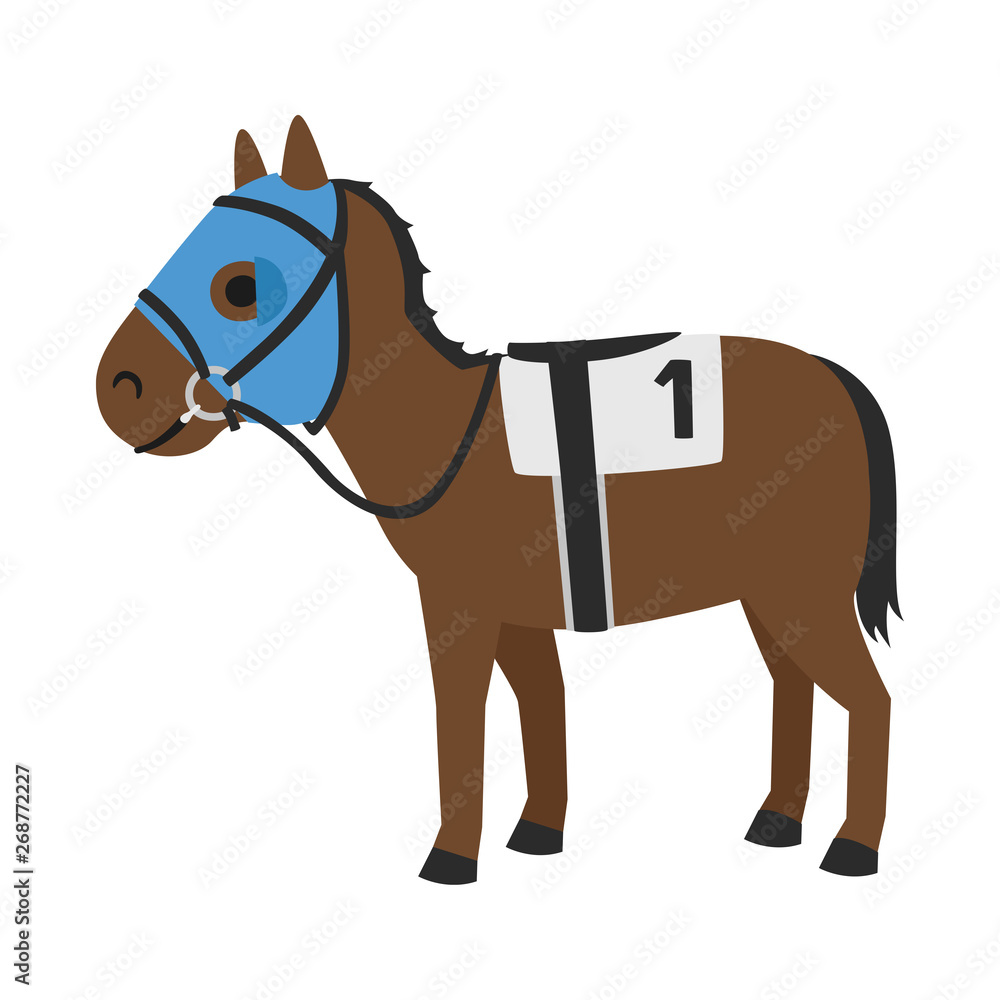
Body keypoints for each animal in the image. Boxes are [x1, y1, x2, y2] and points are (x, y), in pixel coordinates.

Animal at [96, 116, 900, 883]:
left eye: (240, 286)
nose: (118, 386)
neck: (443, 422)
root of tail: (838, 379)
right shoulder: (517, 609)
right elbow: (540, 703)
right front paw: (539, 833)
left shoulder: (461, 606)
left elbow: (463, 721)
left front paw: (452, 858)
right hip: (771, 595)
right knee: (795, 685)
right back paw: (778, 822)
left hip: (802, 593)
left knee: (870, 699)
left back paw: (853, 848)